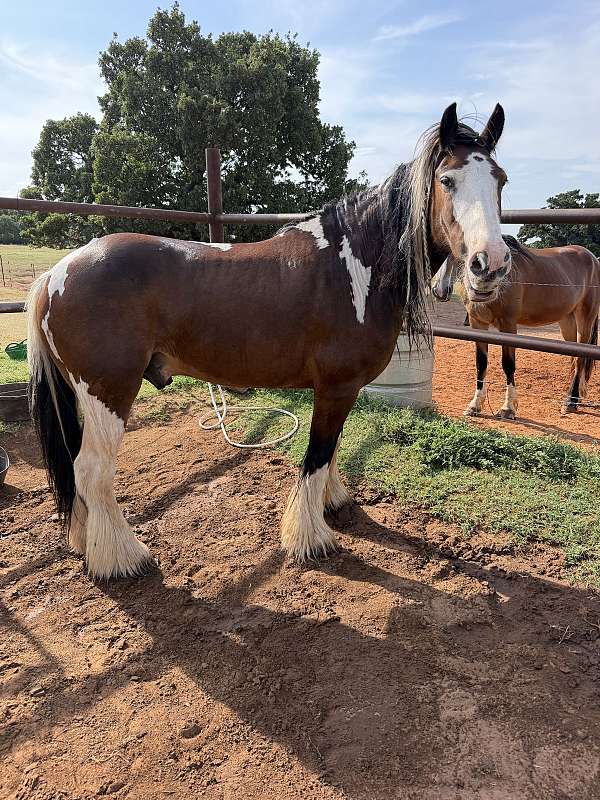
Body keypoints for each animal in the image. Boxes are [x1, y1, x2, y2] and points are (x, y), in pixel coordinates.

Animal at [27, 101, 511, 580]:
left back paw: (86, 541)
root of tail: (56, 273)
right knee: (92, 472)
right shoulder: (335, 387)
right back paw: (122, 558)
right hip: (109, 392)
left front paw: (333, 503)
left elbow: (331, 450)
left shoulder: (343, 390)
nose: (491, 264)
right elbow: (316, 455)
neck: (356, 270)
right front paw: (311, 538)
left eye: (501, 180)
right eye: (447, 181)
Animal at [432, 238, 600, 418]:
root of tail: (593, 259)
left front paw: (508, 408)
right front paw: (475, 405)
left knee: (580, 359)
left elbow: (508, 364)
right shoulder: (477, 323)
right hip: (568, 322)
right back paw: (574, 397)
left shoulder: (508, 325)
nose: (440, 290)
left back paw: (570, 402)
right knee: (574, 359)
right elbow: (481, 363)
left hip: (585, 319)